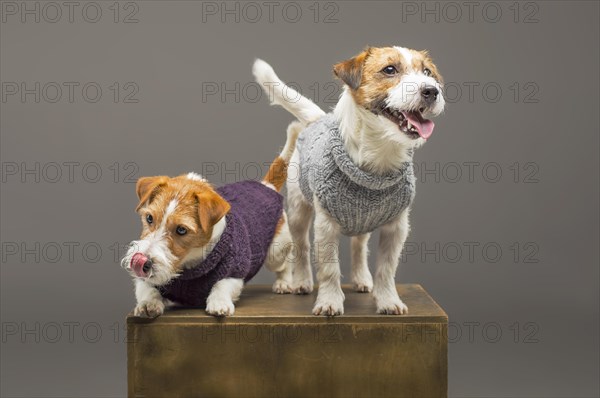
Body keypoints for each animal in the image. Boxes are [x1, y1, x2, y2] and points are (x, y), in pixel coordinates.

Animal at [121, 124, 300, 318]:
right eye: (149, 218)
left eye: (181, 229)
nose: (142, 261)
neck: (188, 265)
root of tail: (266, 185)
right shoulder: (145, 279)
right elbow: (145, 287)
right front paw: (148, 303)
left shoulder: (235, 272)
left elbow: (221, 284)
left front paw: (219, 302)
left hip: (276, 251)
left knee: (287, 261)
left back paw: (284, 282)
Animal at [253, 45, 446, 316]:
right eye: (390, 69)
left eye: (427, 72)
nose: (432, 91)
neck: (378, 159)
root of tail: (318, 120)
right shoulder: (325, 227)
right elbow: (329, 268)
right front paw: (330, 301)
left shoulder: (396, 228)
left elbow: (386, 269)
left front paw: (388, 300)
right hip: (298, 212)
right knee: (301, 247)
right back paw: (301, 281)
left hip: (362, 222)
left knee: (358, 247)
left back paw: (362, 278)